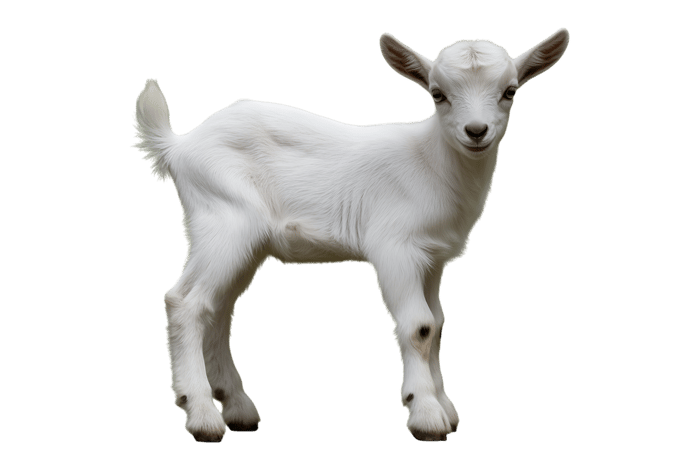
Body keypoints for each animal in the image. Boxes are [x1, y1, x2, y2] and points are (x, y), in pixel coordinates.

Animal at [132, 28, 570, 443]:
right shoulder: (395, 247)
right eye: (438, 94)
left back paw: (238, 408)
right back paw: (202, 416)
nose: (476, 131)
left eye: (510, 91)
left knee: (218, 308)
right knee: (185, 302)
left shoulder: (432, 258)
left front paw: (445, 407)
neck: (431, 162)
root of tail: (179, 145)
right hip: (224, 220)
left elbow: (439, 324)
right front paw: (427, 415)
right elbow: (419, 326)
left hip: (244, 241)